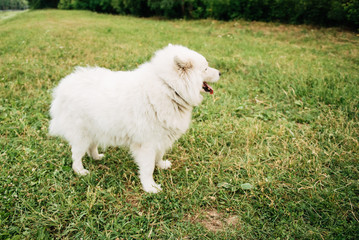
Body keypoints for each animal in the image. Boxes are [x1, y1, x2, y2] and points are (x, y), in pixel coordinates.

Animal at [49, 43, 221, 193]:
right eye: (206, 68)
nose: (220, 73)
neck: (169, 88)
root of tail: (64, 85)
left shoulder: (161, 137)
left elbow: (159, 155)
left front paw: (161, 165)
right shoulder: (147, 143)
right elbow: (147, 167)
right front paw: (150, 187)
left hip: (95, 128)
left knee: (92, 146)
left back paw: (97, 157)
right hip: (82, 134)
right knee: (76, 154)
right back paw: (80, 171)